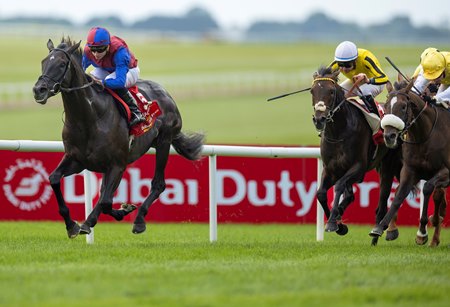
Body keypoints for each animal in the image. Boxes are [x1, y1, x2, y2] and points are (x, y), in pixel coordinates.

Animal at [32, 36, 205, 238]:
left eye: (61, 64)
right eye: (43, 62)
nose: (39, 89)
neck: (88, 118)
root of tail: (166, 93)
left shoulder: (117, 164)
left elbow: (106, 201)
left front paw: (112, 214)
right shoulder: (77, 160)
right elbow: (54, 179)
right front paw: (72, 225)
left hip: (164, 142)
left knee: (158, 184)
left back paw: (139, 220)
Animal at [312, 67, 402, 245]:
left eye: (331, 91)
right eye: (312, 91)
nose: (319, 119)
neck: (339, 132)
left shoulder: (358, 167)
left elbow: (339, 186)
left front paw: (333, 222)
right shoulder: (330, 168)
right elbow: (321, 193)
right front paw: (339, 225)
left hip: (391, 165)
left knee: (388, 196)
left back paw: (386, 231)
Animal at [370, 79, 448, 248]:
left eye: (404, 106)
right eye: (386, 105)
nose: (389, 136)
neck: (426, 136)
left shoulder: (445, 171)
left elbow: (427, 188)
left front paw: (422, 232)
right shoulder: (409, 169)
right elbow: (398, 195)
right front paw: (381, 228)